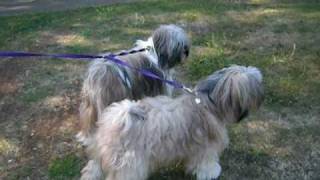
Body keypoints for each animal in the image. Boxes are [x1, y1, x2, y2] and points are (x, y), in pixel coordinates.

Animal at [80, 65, 264, 179]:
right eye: (254, 86)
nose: (262, 97)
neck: (208, 102)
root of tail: (117, 119)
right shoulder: (206, 148)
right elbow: (206, 164)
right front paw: (211, 172)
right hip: (130, 164)